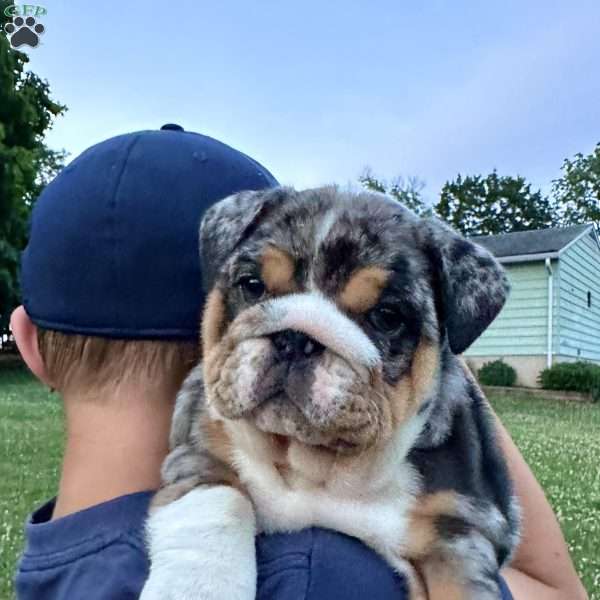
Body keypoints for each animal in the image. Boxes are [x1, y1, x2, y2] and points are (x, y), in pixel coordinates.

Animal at [141, 186, 520, 600]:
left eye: (387, 316)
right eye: (252, 285)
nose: (295, 338)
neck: (315, 466)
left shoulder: (459, 530)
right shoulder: (198, 454)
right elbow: (218, 508)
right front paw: (195, 587)